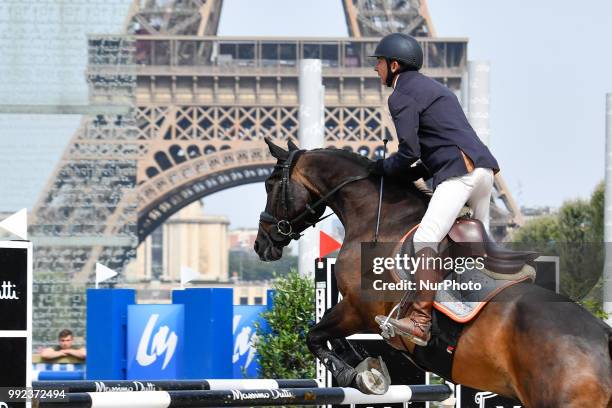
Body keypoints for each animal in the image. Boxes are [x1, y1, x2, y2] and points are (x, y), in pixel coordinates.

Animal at [252, 139, 612, 406]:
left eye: (270, 184)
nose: (260, 244)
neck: (380, 217)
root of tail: (604, 340)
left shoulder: (357, 309)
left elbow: (315, 335)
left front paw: (358, 376)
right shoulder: (354, 311)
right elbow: (330, 339)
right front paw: (365, 367)